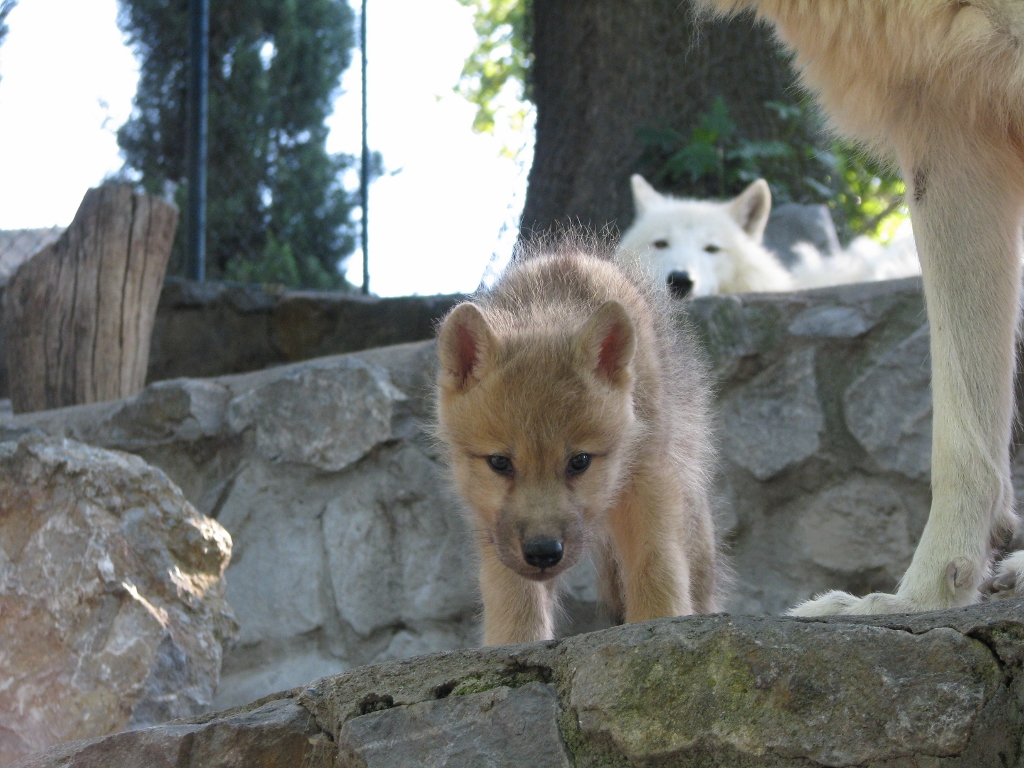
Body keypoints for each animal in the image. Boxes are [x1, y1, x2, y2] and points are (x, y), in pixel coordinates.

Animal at [435, 238, 721, 645]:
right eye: (499, 463)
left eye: (579, 462)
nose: (543, 552)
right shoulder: (491, 526)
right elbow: (512, 596)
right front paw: (517, 643)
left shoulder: (648, 477)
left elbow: (656, 565)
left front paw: (661, 625)